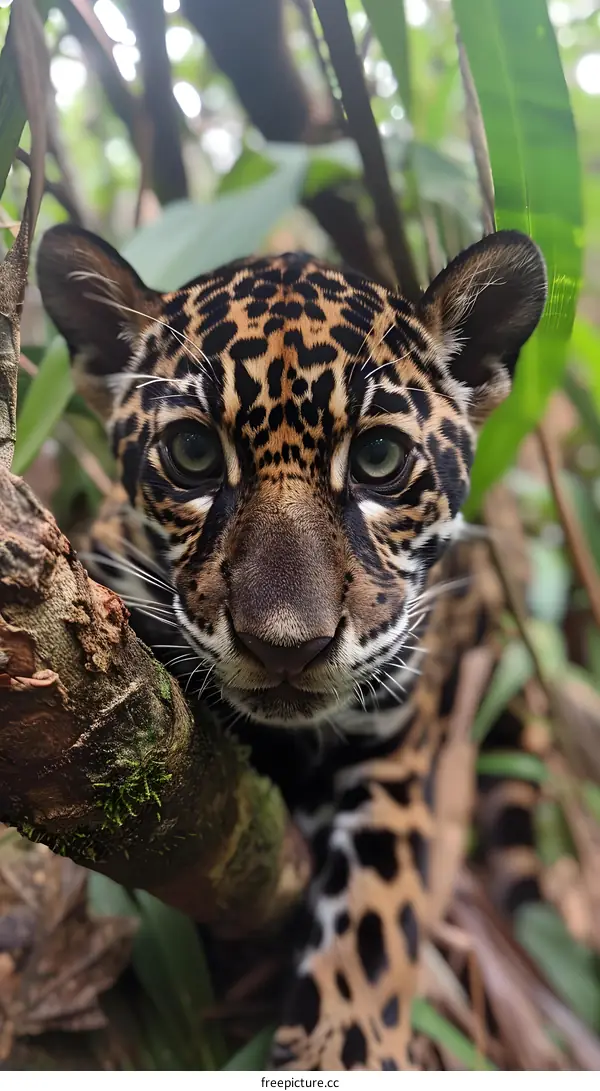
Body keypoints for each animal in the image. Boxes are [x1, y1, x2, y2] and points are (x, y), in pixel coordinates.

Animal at [36, 223, 547, 1070]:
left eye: (378, 459)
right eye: (193, 454)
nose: (286, 647)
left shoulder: (395, 754)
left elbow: (378, 914)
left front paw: (347, 1051)